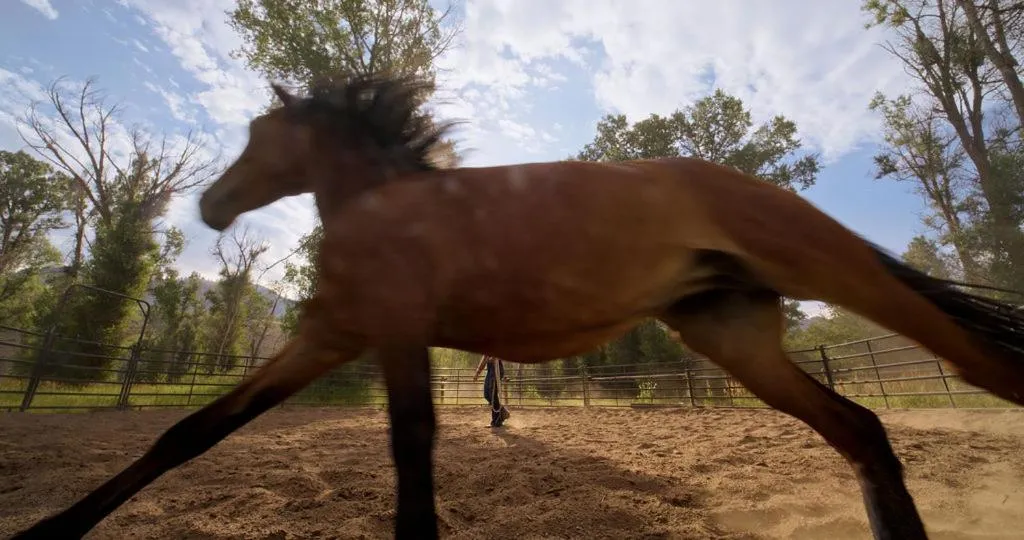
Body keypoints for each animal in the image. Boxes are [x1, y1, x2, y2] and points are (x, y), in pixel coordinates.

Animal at [13, 73, 1024, 540]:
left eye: (265, 136)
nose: (213, 207)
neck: (387, 209)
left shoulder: (395, 335)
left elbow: (411, 446)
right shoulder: (329, 336)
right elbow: (188, 434)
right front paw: (46, 529)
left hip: (836, 276)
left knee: (981, 370)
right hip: (736, 336)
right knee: (862, 431)